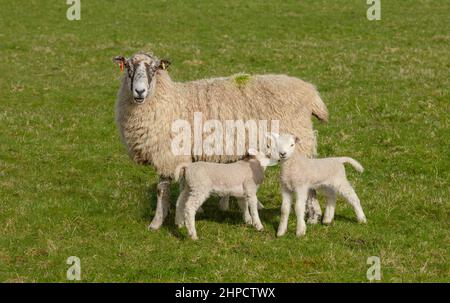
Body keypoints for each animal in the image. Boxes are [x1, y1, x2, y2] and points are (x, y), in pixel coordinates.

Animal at [114, 52, 328, 230]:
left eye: (154, 68)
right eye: (129, 68)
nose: (139, 91)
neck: (170, 102)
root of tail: (311, 92)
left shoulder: (168, 153)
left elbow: (162, 190)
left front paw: (157, 222)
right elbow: (183, 185)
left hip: (298, 142)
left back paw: (313, 216)